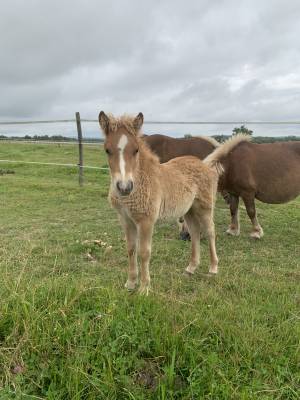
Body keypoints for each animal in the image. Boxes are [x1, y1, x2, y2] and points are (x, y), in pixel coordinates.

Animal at [98, 111, 220, 294]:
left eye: (136, 150)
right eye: (107, 150)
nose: (124, 187)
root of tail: (204, 165)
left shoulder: (146, 220)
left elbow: (144, 252)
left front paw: (144, 288)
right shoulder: (125, 219)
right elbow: (131, 249)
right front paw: (130, 283)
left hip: (204, 206)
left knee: (210, 231)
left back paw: (213, 268)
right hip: (189, 210)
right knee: (195, 232)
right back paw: (190, 268)